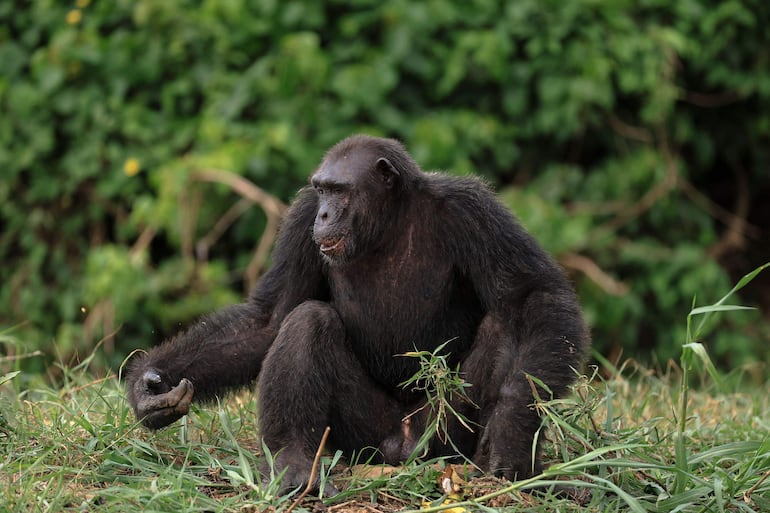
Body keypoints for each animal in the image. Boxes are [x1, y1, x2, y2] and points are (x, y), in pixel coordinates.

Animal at [124, 134, 588, 494]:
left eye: (340, 190)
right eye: (321, 190)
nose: (326, 213)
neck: (388, 222)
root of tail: (401, 448)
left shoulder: (474, 211)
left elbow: (534, 297)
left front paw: (513, 433)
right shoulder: (301, 220)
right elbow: (268, 320)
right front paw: (151, 384)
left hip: (442, 436)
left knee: (505, 325)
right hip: (363, 438)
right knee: (308, 320)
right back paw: (295, 464)